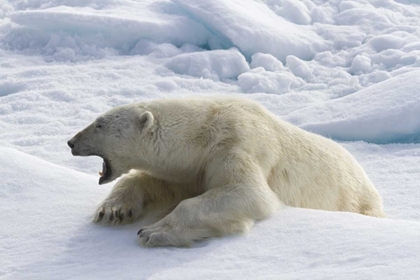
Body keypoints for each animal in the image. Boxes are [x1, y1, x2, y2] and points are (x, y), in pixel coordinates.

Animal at [68, 96, 384, 247]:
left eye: (99, 124)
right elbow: (155, 183)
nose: (71, 142)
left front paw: (153, 231)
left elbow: (247, 193)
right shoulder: (190, 169)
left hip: (356, 200)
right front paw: (113, 211)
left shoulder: (235, 146)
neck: (200, 134)